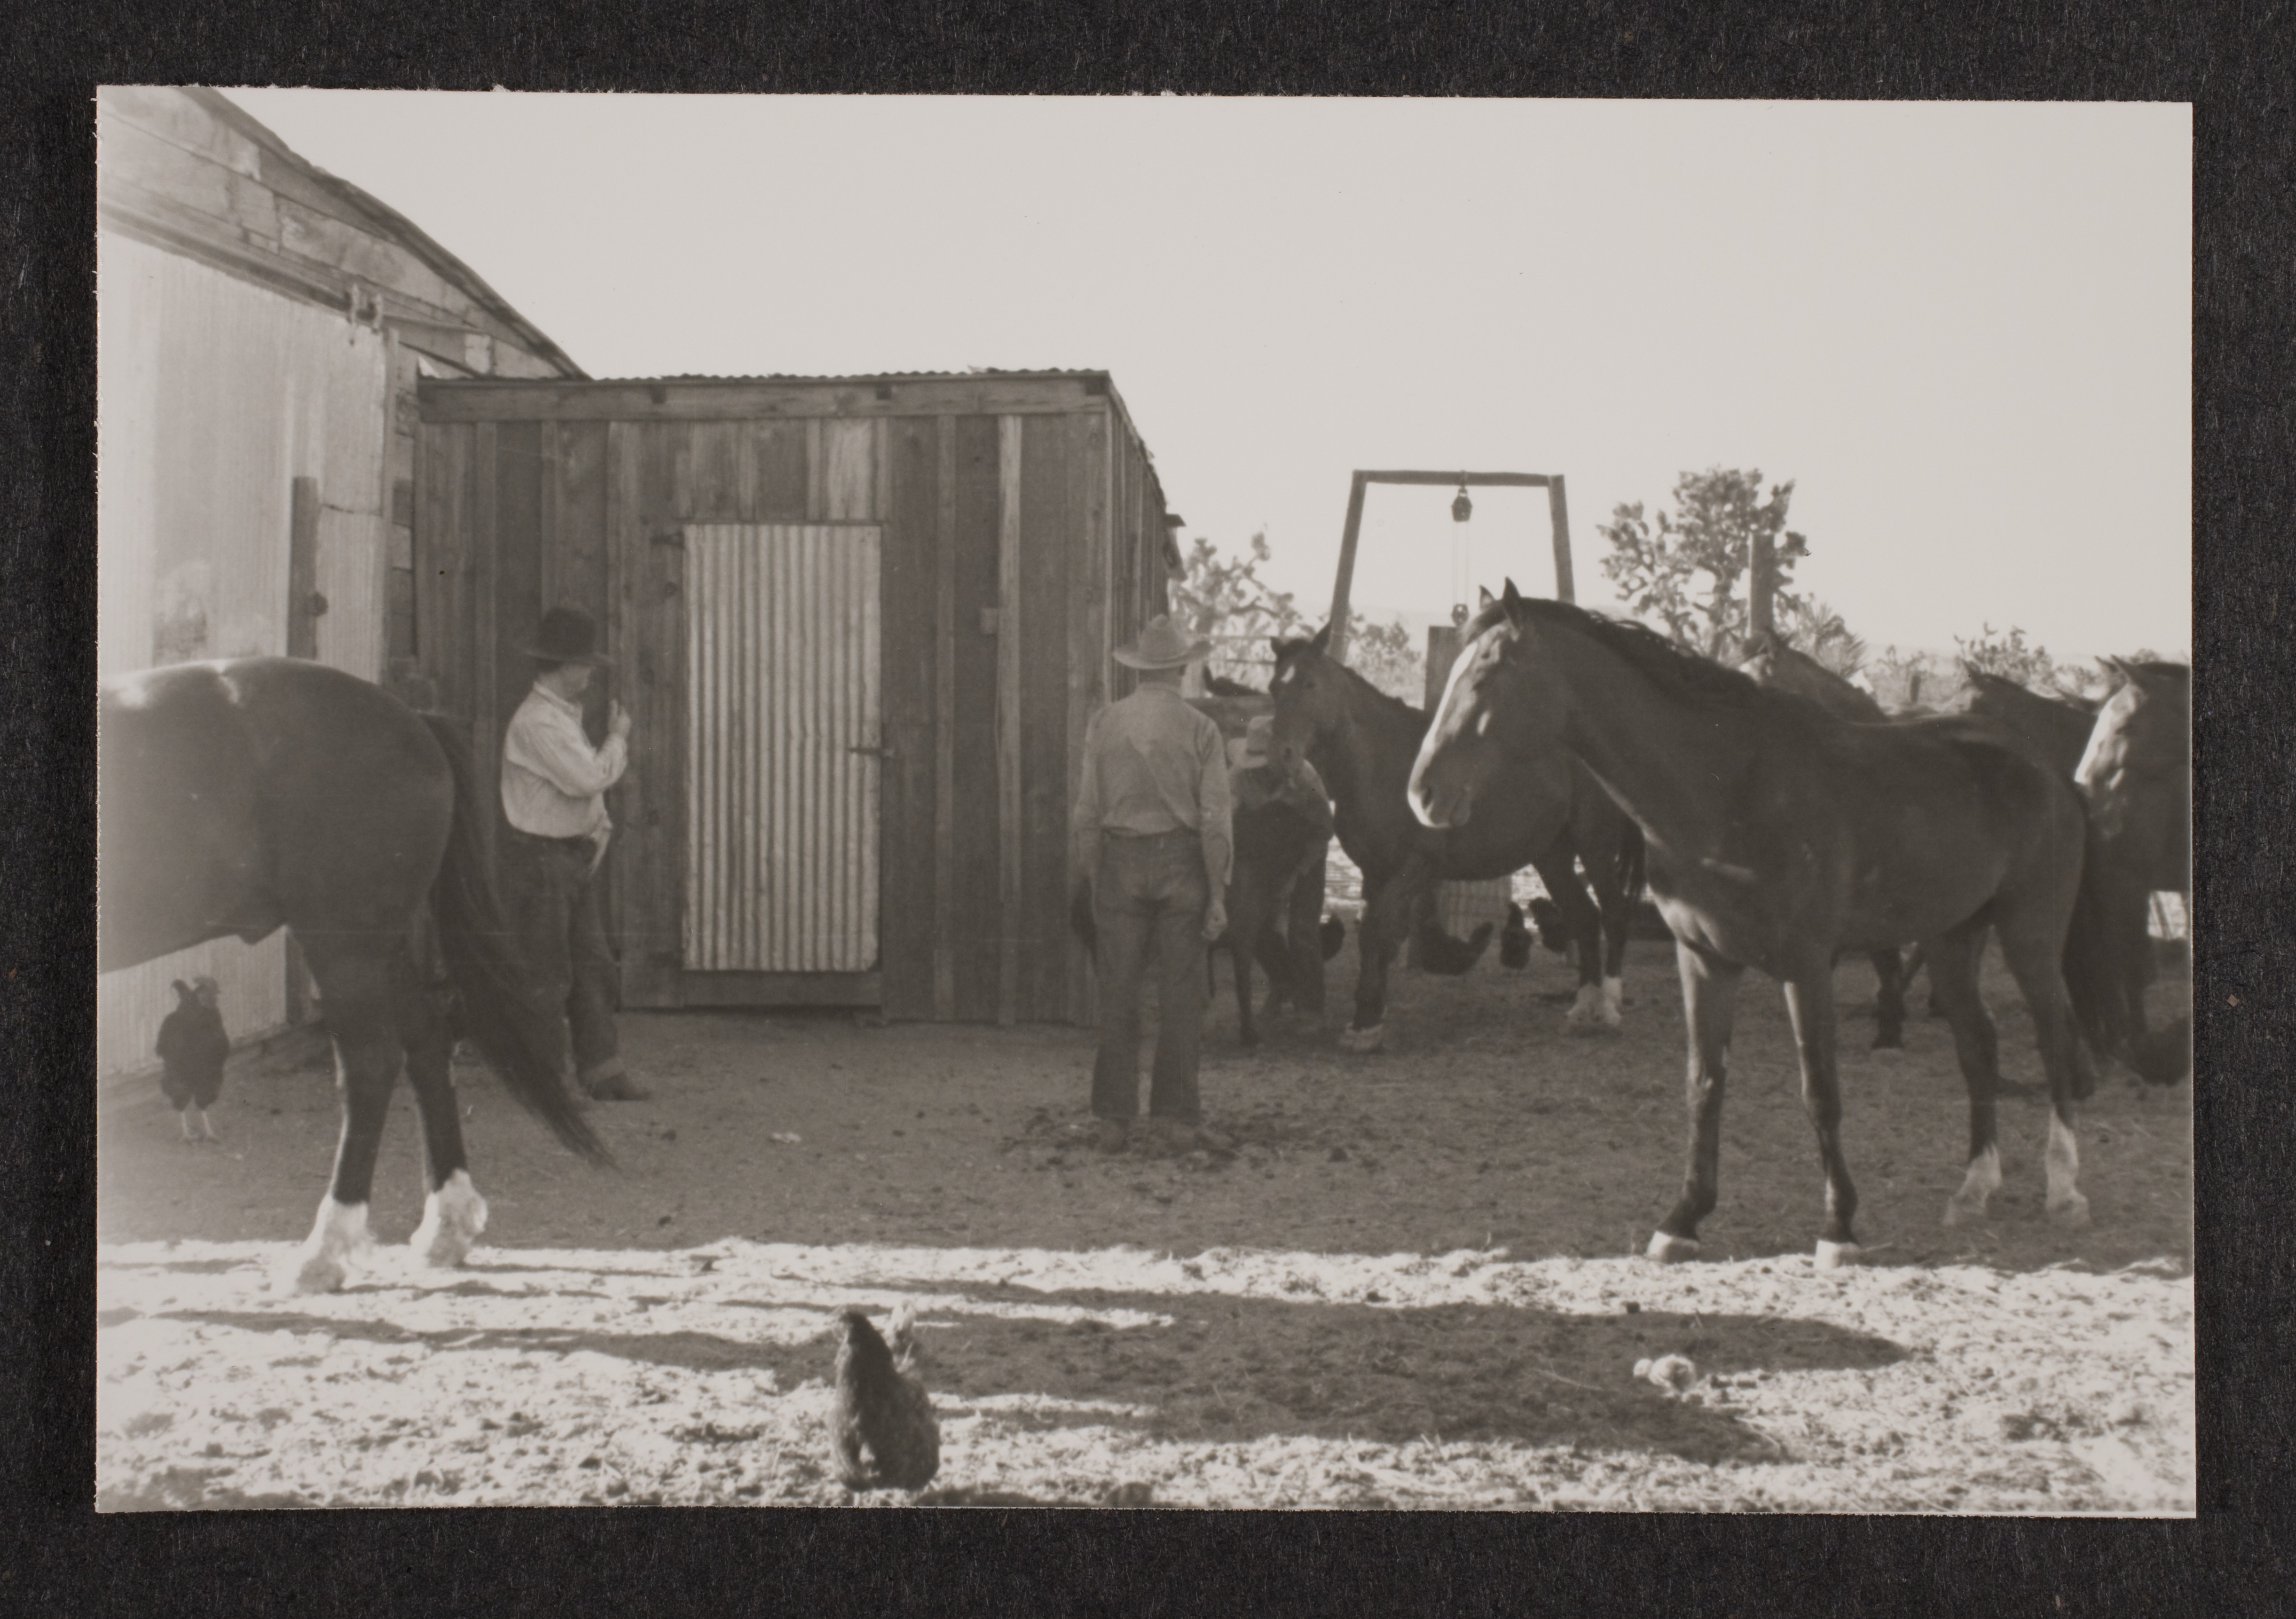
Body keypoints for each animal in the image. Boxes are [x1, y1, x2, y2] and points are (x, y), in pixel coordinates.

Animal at [100, 652, 611, 1286]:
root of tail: (412, 721)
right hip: (382, 952)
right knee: (425, 1044)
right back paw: (445, 1229)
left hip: (345, 949)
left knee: (371, 1066)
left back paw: (326, 1250)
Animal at [1267, 620, 1643, 1047]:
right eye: (1274, 688)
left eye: (1310, 684)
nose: (1280, 755)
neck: (1383, 764)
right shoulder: (1374, 871)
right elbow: (1378, 938)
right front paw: (1373, 1014)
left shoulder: (1415, 867)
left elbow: (1377, 932)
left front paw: (1365, 1022)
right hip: (1553, 857)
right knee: (1584, 917)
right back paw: (1582, 1008)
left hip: (1595, 846)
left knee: (1613, 914)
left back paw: (1609, 1009)